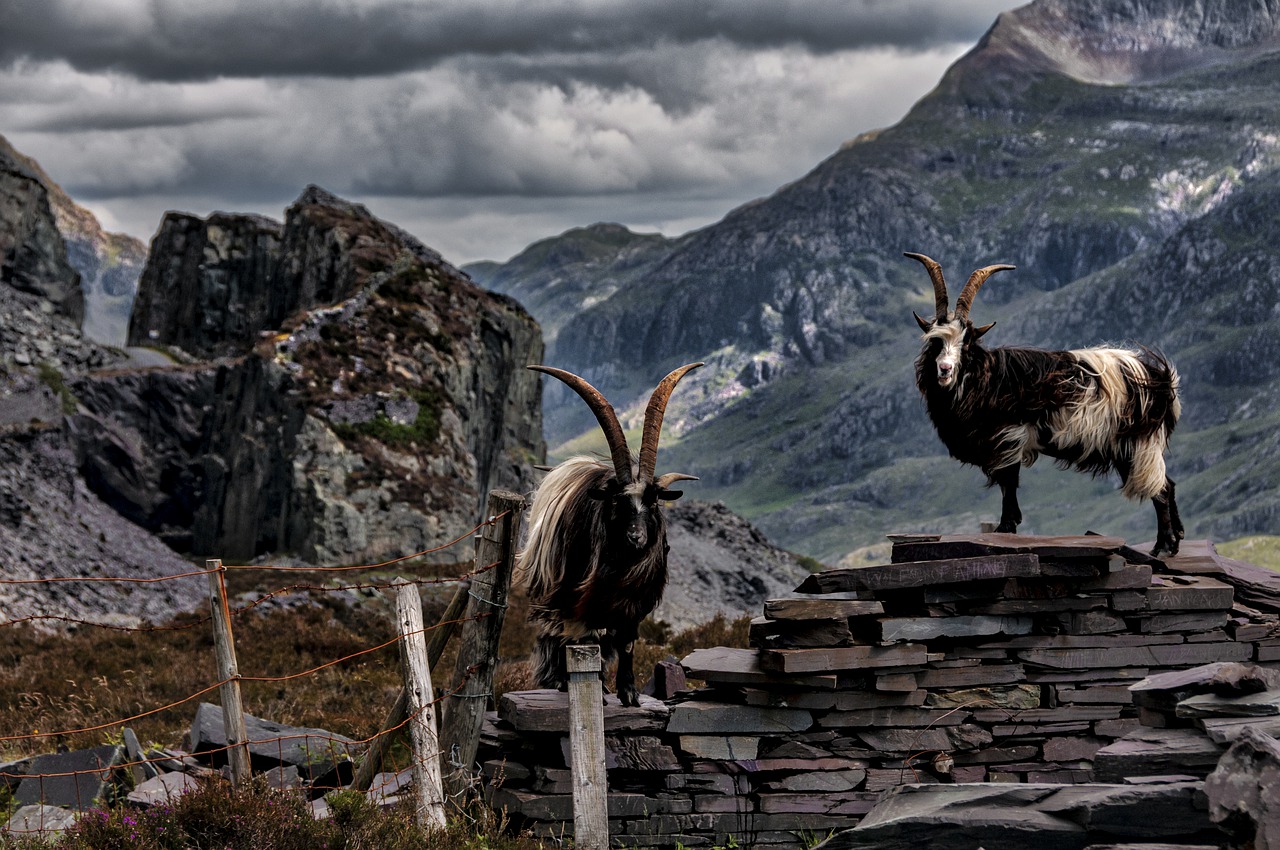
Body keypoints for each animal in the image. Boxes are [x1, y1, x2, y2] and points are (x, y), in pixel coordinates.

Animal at [517, 360, 706, 706]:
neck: (621, 567)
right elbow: (588, 639)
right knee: (564, 635)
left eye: (653, 502)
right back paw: (564, 680)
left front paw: (629, 692)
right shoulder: (583, 597)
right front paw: (600, 692)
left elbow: (627, 642)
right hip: (556, 590)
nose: (636, 538)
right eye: (618, 502)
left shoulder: (634, 603)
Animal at [906, 250, 1182, 558]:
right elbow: (1008, 484)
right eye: (935, 341)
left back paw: (1162, 546)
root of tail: (1159, 378)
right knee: (1167, 484)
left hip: (1138, 443)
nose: (944, 369)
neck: (984, 378)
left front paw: (1005, 527)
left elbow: (1008, 482)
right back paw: (1175, 541)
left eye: (966, 343)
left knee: (1160, 490)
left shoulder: (1009, 436)